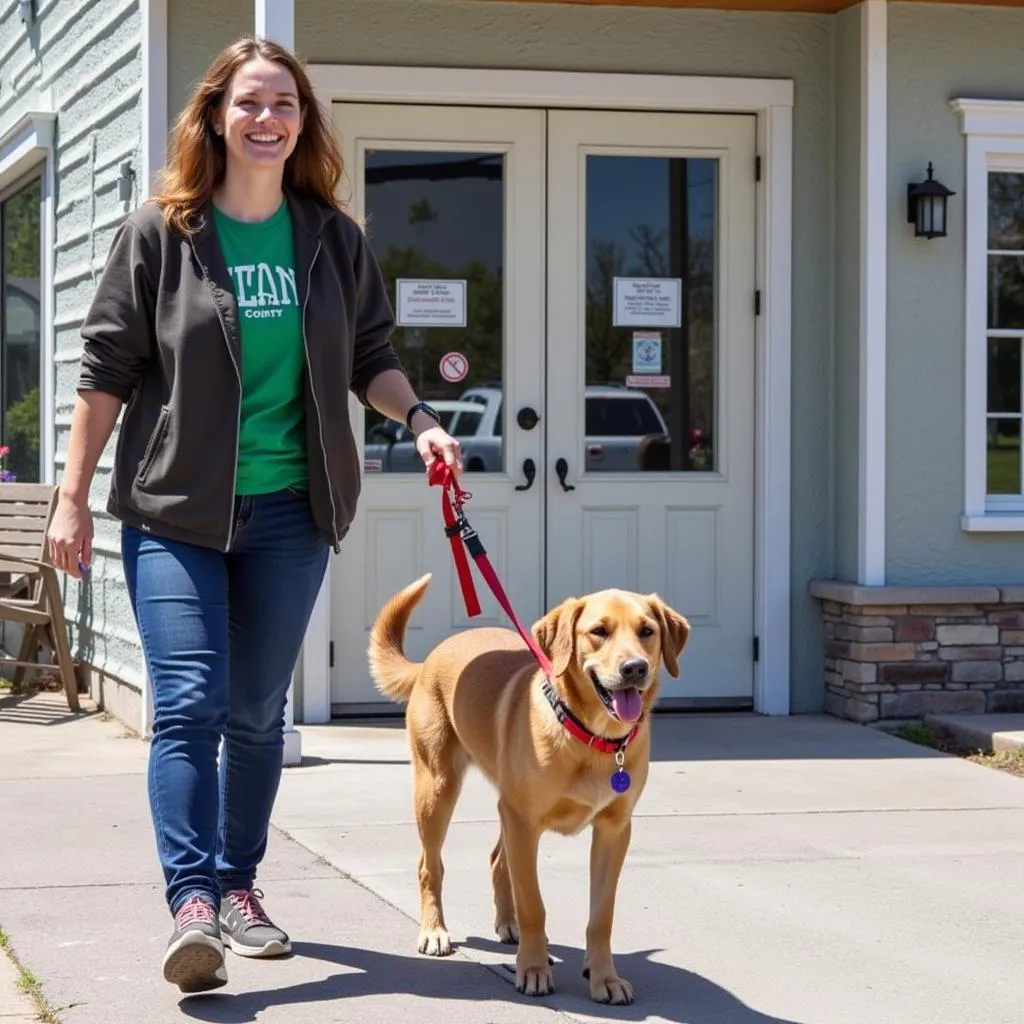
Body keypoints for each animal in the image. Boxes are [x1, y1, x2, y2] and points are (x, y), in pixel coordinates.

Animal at [366, 577, 688, 1007]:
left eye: (647, 631)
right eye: (599, 631)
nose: (634, 668)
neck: (590, 737)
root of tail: (430, 659)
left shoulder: (613, 830)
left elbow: (601, 917)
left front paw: (604, 977)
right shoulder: (523, 820)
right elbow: (534, 905)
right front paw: (532, 970)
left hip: (506, 809)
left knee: (498, 861)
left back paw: (509, 925)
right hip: (438, 790)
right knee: (429, 865)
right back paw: (435, 931)